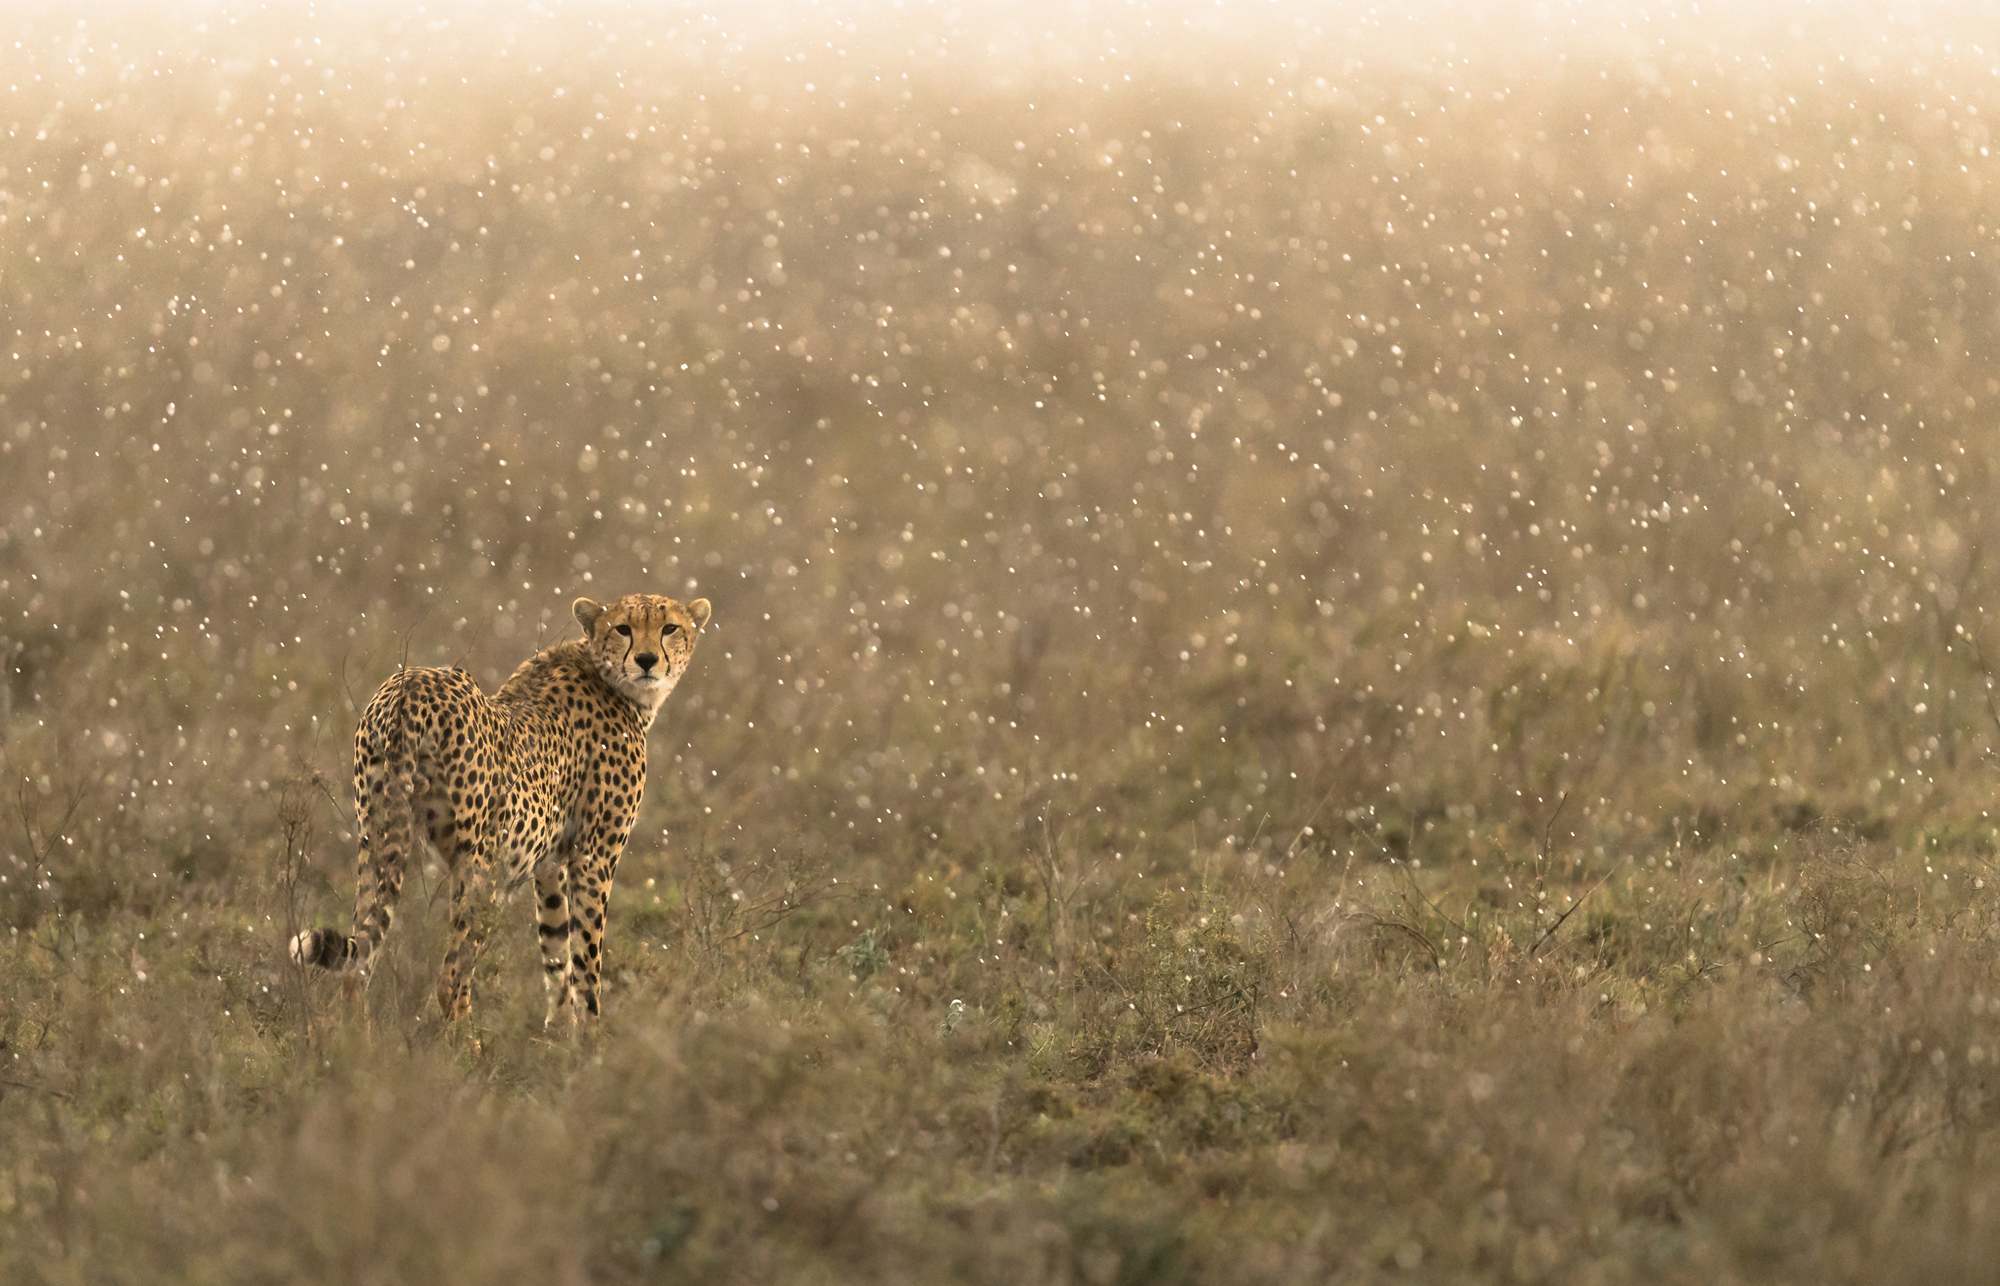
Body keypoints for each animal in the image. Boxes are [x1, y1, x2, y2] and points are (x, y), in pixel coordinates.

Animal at [290, 592, 712, 1024]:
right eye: (623, 628)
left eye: (670, 627)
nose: (646, 660)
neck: (607, 674)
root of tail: (415, 685)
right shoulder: (595, 858)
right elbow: (587, 961)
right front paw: (592, 1035)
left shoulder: (550, 864)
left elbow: (556, 948)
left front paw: (560, 1031)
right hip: (480, 866)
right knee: (450, 978)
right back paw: (468, 1040)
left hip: (377, 838)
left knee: (359, 965)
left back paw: (355, 1040)